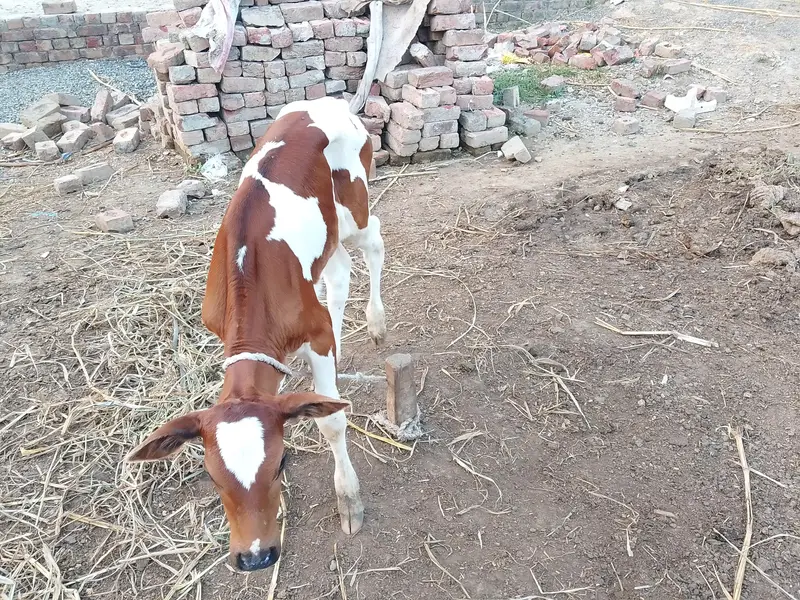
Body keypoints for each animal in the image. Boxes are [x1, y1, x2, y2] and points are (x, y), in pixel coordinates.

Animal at [126, 97, 386, 572]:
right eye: (210, 474)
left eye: (282, 461)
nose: (256, 556)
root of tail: (329, 101)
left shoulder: (314, 332)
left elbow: (332, 421)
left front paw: (349, 500)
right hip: (326, 235)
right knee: (338, 272)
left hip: (353, 204)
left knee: (373, 239)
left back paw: (376, 323)